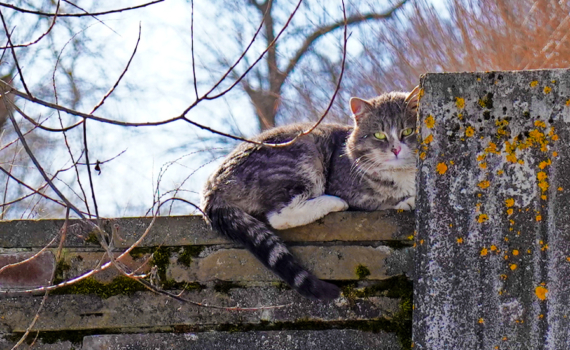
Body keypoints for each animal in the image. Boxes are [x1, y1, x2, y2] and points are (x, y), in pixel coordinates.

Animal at [200, 89, 418, 300]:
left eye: (408, 131)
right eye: (379, 135)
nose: (396, 149)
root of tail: (212, 188)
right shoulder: (349, 188)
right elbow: (382, 200)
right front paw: (408, 201)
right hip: (302, 156)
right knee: (279, 215)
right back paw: (332, 202)